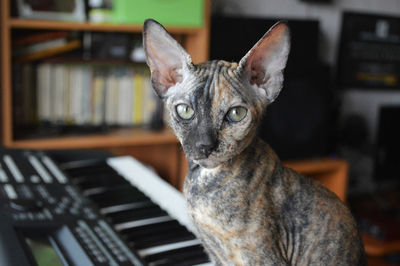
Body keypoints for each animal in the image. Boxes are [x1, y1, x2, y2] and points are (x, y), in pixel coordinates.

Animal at [143, 19, 366, 266]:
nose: (205, 145)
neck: (206, 180)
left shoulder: (263, 257)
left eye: (236, 114)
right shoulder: (215, 254)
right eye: (185, 110)